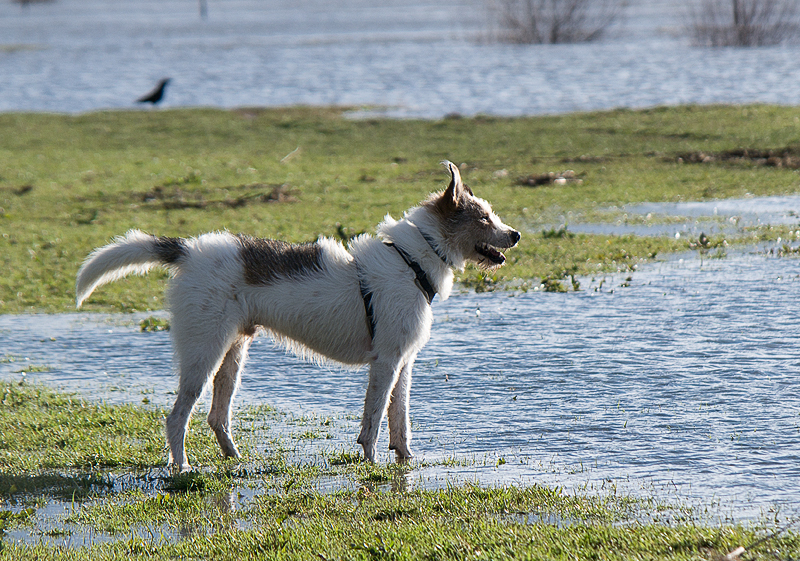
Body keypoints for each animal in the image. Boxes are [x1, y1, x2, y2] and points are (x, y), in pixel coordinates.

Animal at [76, 160, 520, 470]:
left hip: (233, 353)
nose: (514, 235)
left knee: (218, 416)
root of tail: (187, 250)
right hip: (203, 353)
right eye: (483, 218)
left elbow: (400, 419)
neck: (412, 258)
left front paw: (405, 459)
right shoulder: (386, 362)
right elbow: (374, 418)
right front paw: (371, 463)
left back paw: (234, 458)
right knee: (177, 417)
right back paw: (182, 466)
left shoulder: (403, 363)